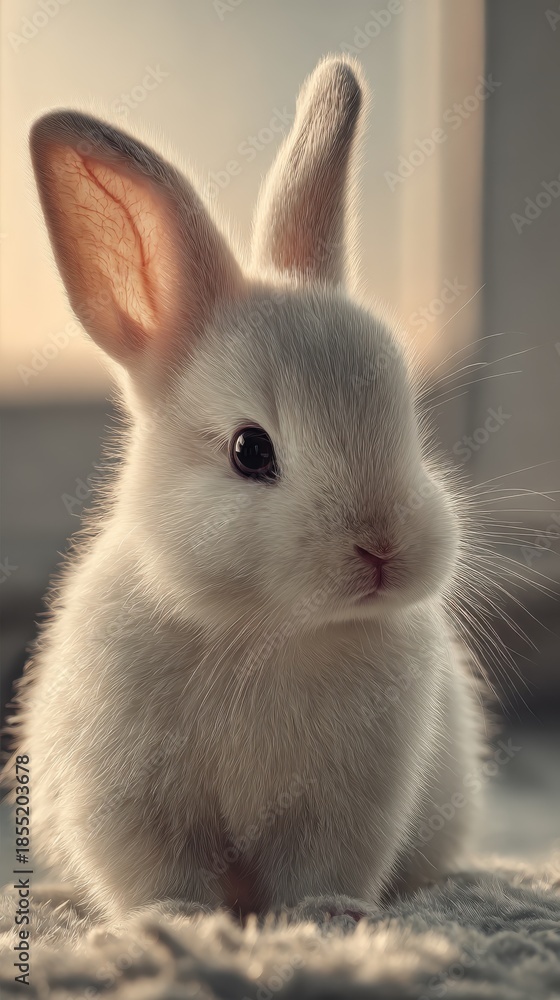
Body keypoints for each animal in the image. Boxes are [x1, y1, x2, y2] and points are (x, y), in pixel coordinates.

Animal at [6, 55, 485, 921]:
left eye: (408, 418)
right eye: (249, 451)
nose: (383, 549)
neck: (264, 631)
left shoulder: (341, 812)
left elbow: (315, 874)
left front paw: (320, 919)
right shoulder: (134, 805)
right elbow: (163, 877)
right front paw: (180, 924)